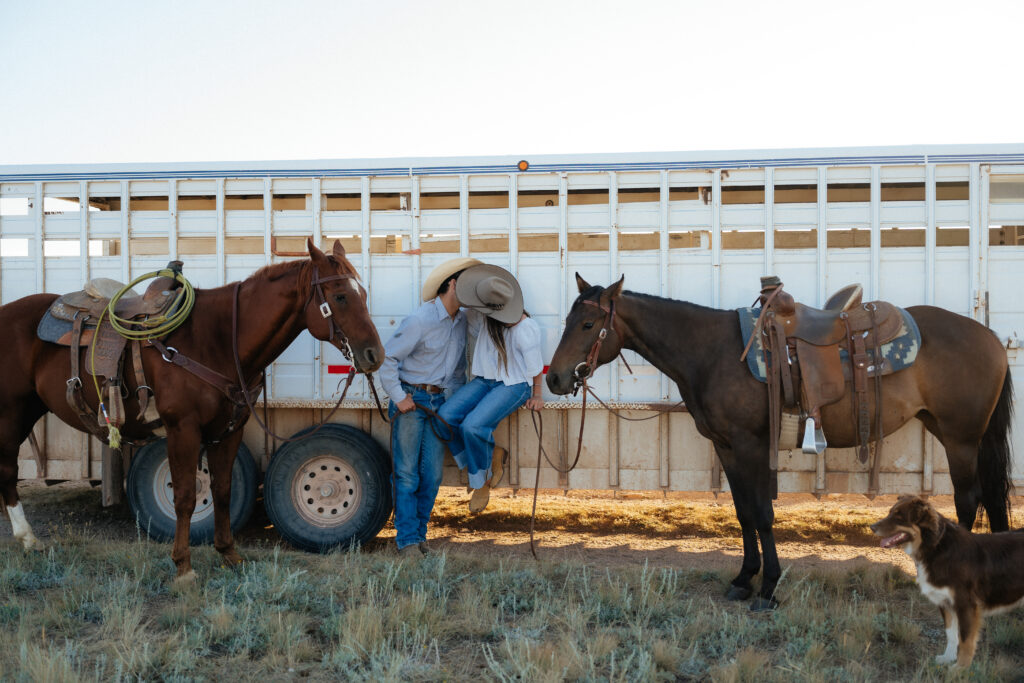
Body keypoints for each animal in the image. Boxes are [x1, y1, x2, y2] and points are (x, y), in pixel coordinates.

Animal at [0, 239, 383, 581]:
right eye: (340, 296)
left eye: (364, 295)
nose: (373, 354)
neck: (217, 340)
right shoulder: (182, 429)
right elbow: (185, 495)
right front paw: (183, 565)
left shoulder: (229, 430)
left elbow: (222, 490)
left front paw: (229, 554)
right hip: (11, 411)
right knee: (7, 470)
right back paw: (27, 537)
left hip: (28, 409)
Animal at [547, 274, 1014, 609]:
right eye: (566, 322)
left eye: (588, 324)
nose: (555, 378)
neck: (712, 352)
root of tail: (990, 336)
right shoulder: (726, 447)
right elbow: (743, 514)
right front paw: (743, 580)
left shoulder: (751, 445)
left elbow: (763, 514)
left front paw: (768, 588)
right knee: (990, 498)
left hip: (961, 437)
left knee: (968, 501)